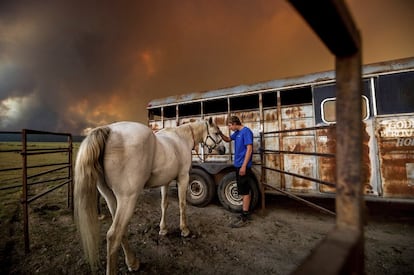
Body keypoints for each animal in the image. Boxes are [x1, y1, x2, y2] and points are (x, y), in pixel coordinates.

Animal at [74, 118, 223, 274]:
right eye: (216, 132)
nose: (223, 150)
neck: (181, 138)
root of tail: (108, 129)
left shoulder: (166, 181)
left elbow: (164, 204)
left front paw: (163, 229)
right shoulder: (183, 178)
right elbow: (182, 204)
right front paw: (184, 230)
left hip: (110, 198)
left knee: (121, 231)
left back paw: (133, 262)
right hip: (128, 199)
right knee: (113, 235)